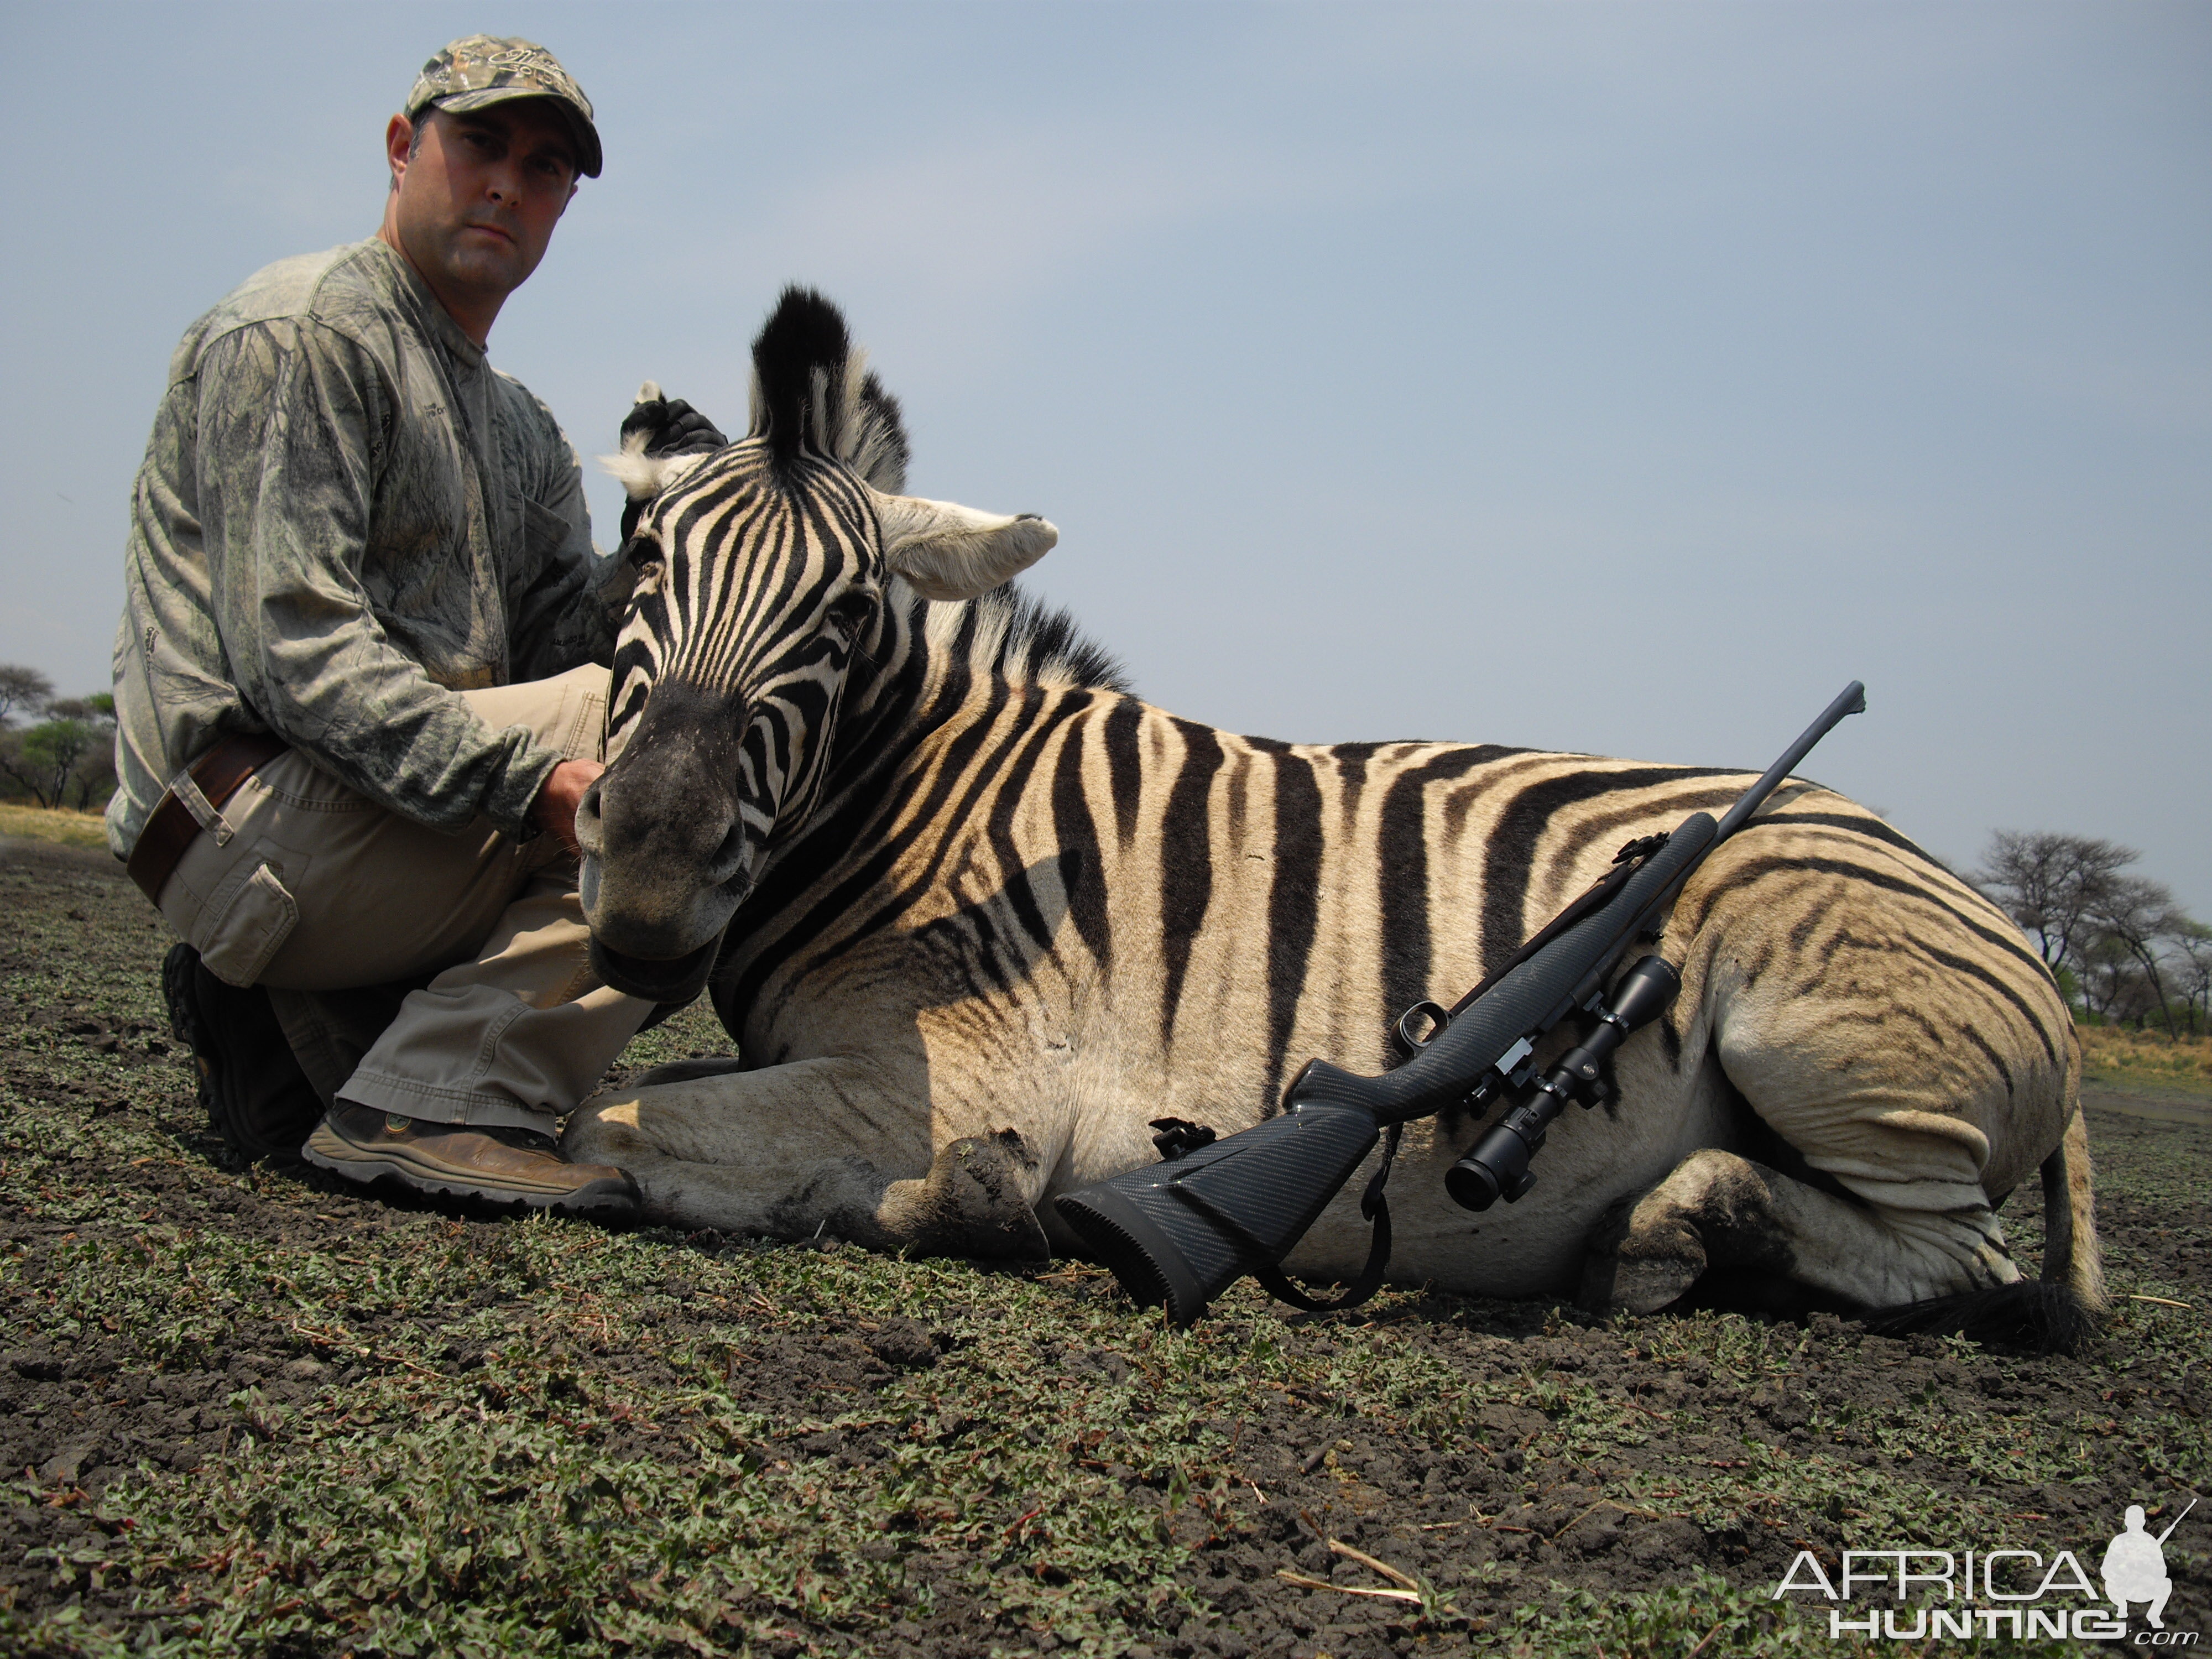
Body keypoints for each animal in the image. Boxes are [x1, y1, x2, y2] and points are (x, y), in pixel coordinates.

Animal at [562, 285, 2097, 1354]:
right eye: (639, 567)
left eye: (843, 617)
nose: (640, 896)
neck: (922, 808)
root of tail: (1960, 888)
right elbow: (635, 1105)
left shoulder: (962, 1077)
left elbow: (606, 1126)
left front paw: (969, 1207)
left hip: (1826, 1051)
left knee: (1962, 1259)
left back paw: (1675, 1233)